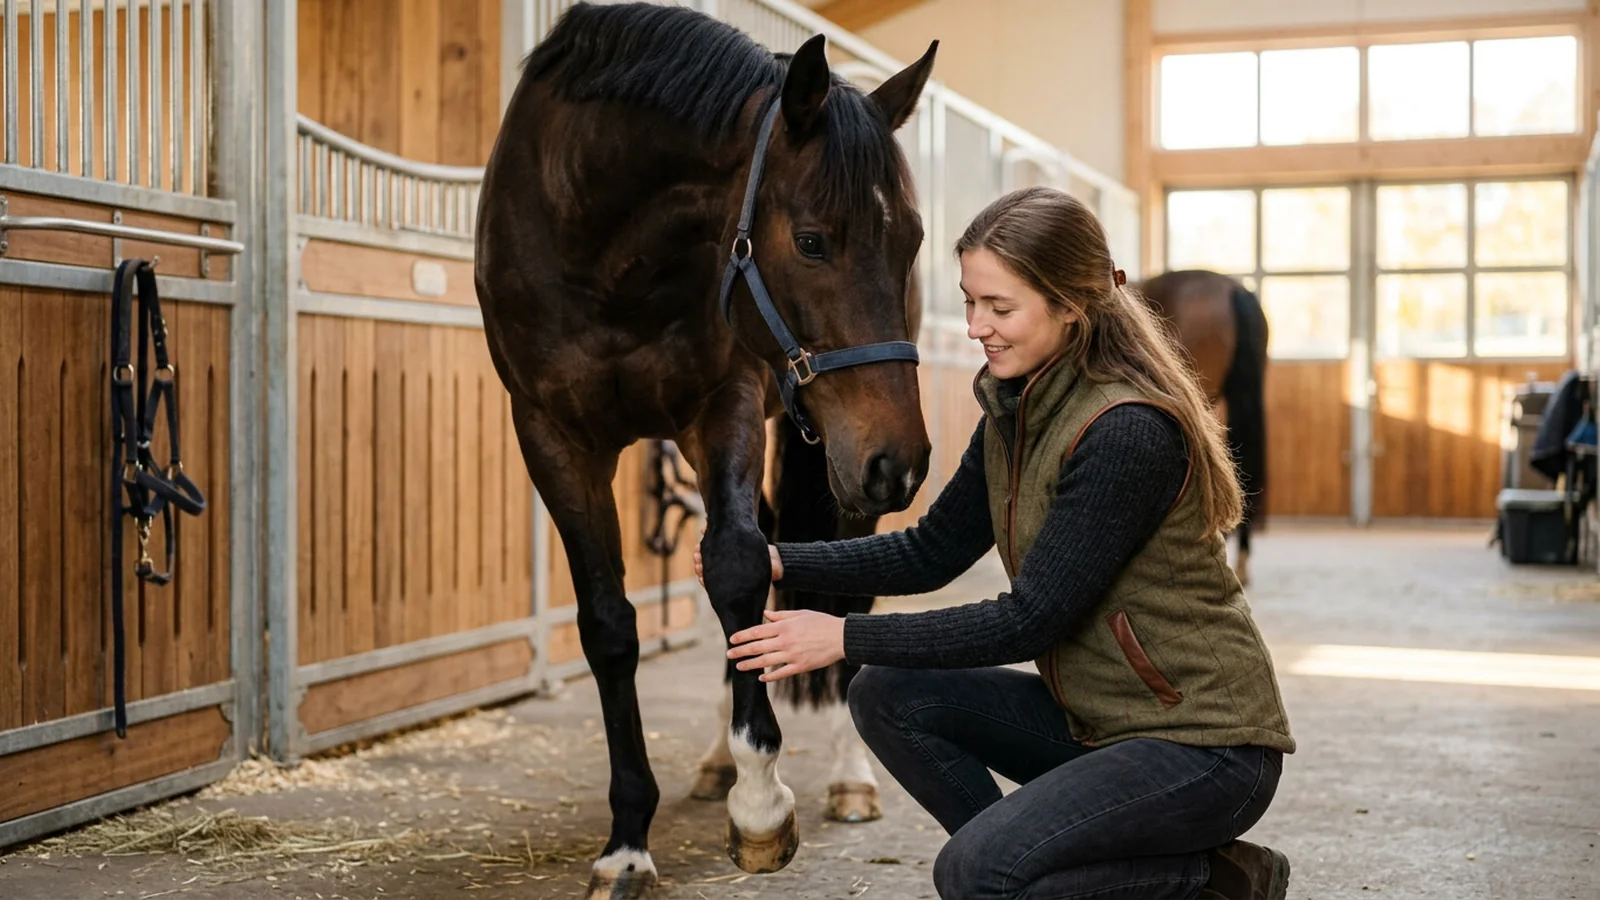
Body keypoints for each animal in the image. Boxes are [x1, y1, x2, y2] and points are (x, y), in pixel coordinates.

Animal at [473, 3, 937, 896]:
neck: (600, 240)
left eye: (914, 240)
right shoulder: (551, 436)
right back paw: (720, 759)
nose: (899, 463)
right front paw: (627, 845)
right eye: (813, 241)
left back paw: (847, 778)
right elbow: (610, 624)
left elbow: (735, 566)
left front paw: (762, 807)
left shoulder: (723, 408)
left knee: (841, 590)